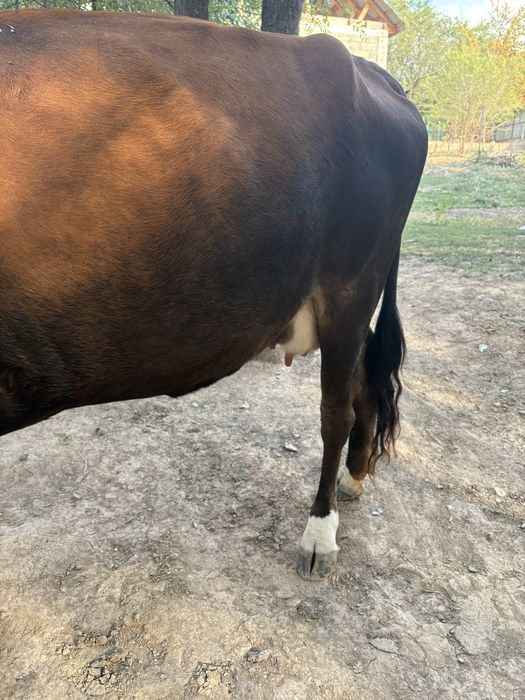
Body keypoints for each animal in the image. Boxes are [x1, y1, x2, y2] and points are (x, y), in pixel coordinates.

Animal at [0, 10, 427, 580]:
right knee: (364, 379)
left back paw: (320, 532)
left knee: (336, 408)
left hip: (353, 283)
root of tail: (366, 68)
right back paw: (353, 478)